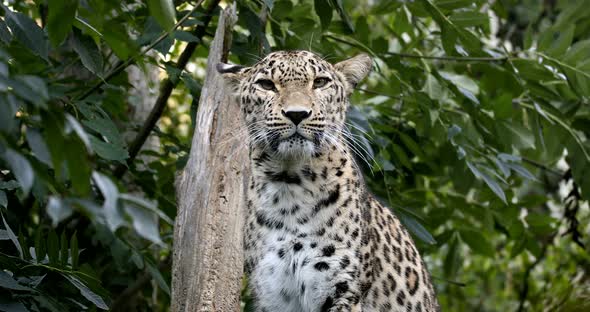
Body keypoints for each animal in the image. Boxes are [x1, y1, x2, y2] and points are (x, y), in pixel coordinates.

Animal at [217, 50, 440, 312]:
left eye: (320, 82)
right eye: (267, 85)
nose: (296, 114)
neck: (288, 184)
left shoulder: (341, 289)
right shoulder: (273, 294)